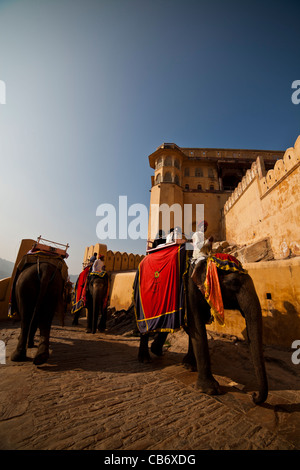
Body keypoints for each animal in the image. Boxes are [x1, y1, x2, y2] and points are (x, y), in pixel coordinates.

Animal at [137, 255, 268, 406]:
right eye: (234, 283)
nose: (253, 395)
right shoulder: (190, 289)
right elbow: (196, 326)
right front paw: (211, 390)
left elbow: (196, 326)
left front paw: (189, 366)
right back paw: (145, 359)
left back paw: (157, 351)